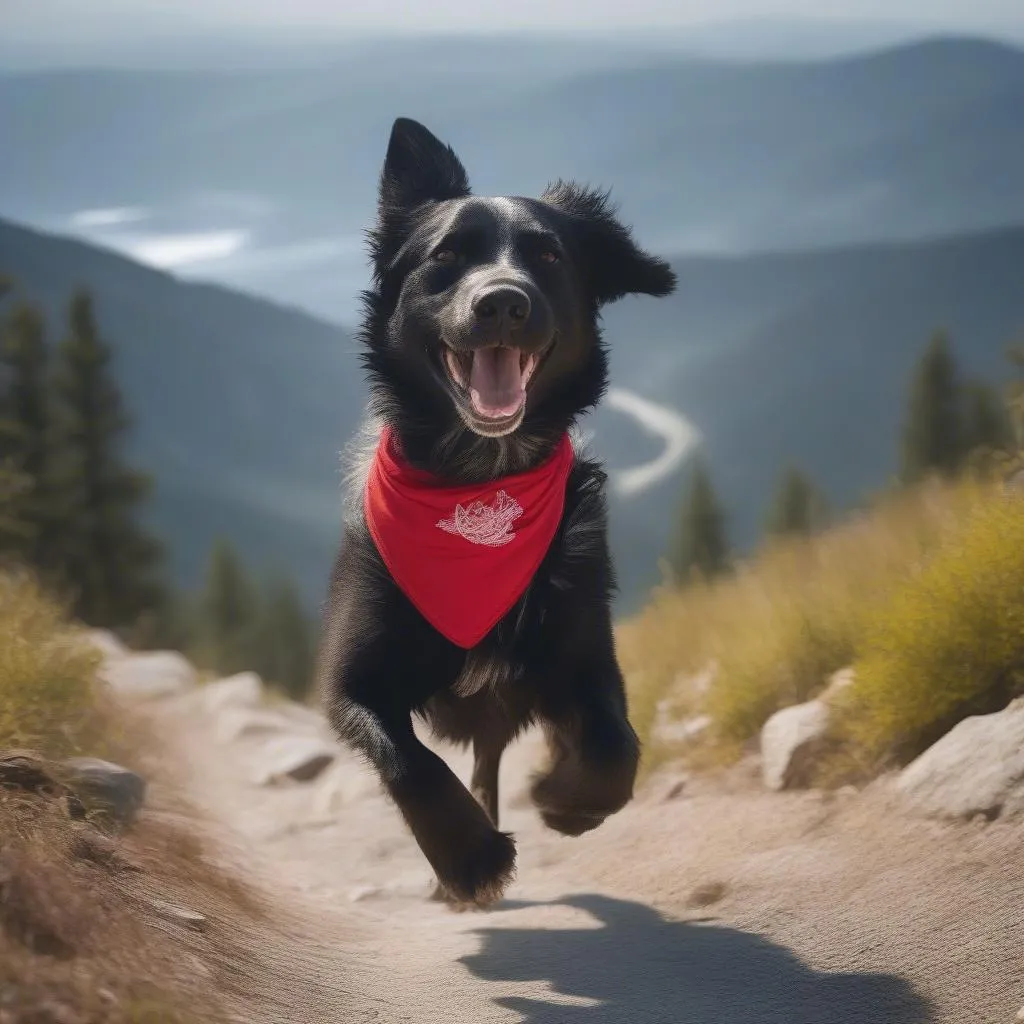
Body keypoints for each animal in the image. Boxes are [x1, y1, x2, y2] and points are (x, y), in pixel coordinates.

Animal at [315, 116, 675, 909]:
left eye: (548, 255)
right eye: (447, 256)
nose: (503, 302)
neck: (480, 483)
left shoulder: (584, 654)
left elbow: (615, 747)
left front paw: (563, 798)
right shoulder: (351, 679)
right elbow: (408, 760)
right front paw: (469, 860)